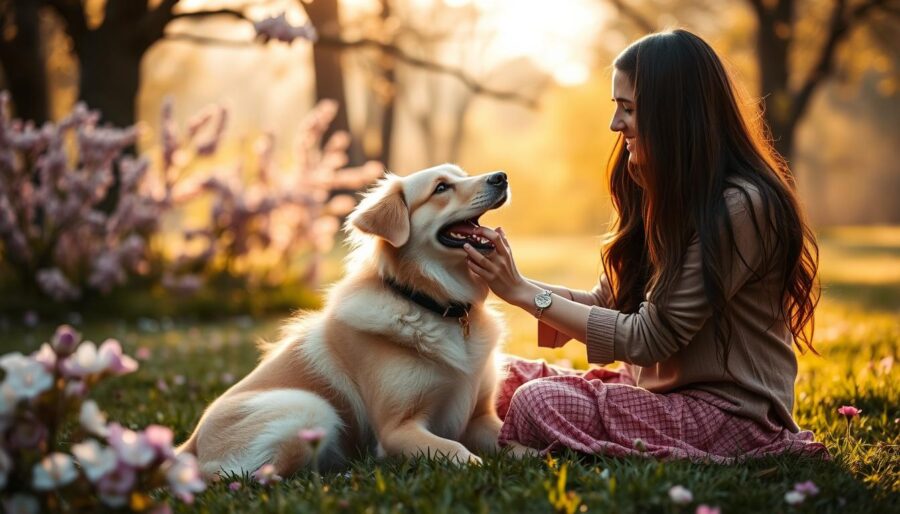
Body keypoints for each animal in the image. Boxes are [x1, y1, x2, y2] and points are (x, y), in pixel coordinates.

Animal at [178, 165, 512, 476]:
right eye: (441, 187)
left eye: (463, 175)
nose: (501, 177)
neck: (432, 304)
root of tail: (189, 445)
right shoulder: (397, 430)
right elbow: (457, 451)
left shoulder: (481, 418)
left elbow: (516, 441)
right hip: (311, 407)